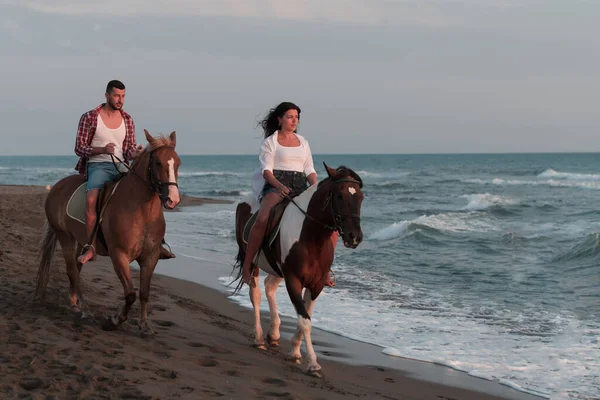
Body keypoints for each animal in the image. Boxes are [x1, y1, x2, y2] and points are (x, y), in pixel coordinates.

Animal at [34, 130, 180, 336]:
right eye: (158, 163)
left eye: (178, 162)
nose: (173, 199)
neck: (141, 211)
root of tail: (57, 186)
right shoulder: (119, 255)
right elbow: (130, 294)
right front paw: (113, 320)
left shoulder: (150, 257)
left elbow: (144, 292)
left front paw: (144, 325)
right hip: (65, 237)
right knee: (72, 271)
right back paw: (84, 310)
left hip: (81, 242)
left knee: (76, 268)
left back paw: (75, 304)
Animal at [232, 162, 364, 376]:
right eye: (339, 195)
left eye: (360, 197)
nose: (354, 237)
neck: (311, 237)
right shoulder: (293, 279)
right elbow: (305, 321)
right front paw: (313, 364)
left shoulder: (316, 284)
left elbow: (306, 317)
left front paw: (294, 351)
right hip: (252, 262)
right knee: (256, 294)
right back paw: (259, 338)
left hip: (278, 270)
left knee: (269, 286)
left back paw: (274, 333)